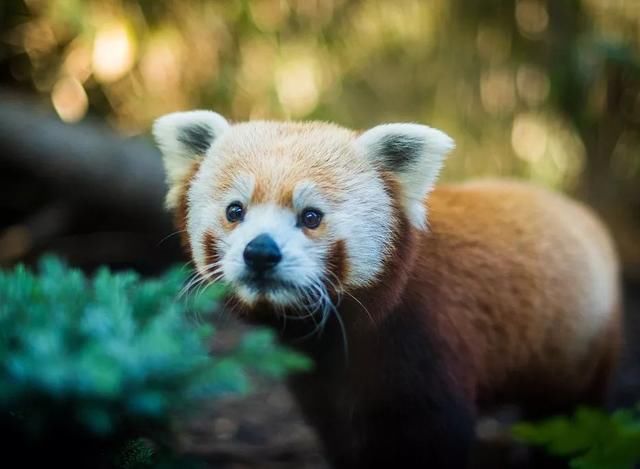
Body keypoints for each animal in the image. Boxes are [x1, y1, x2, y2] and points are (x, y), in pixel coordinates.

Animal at [150, 112, 620, 468]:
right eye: (235, 211)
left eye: (311, 216)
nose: (260, 252)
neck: (337, 336)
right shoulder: (322, 380)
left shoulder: (429, 340)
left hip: (579, 344)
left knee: (567, 412)